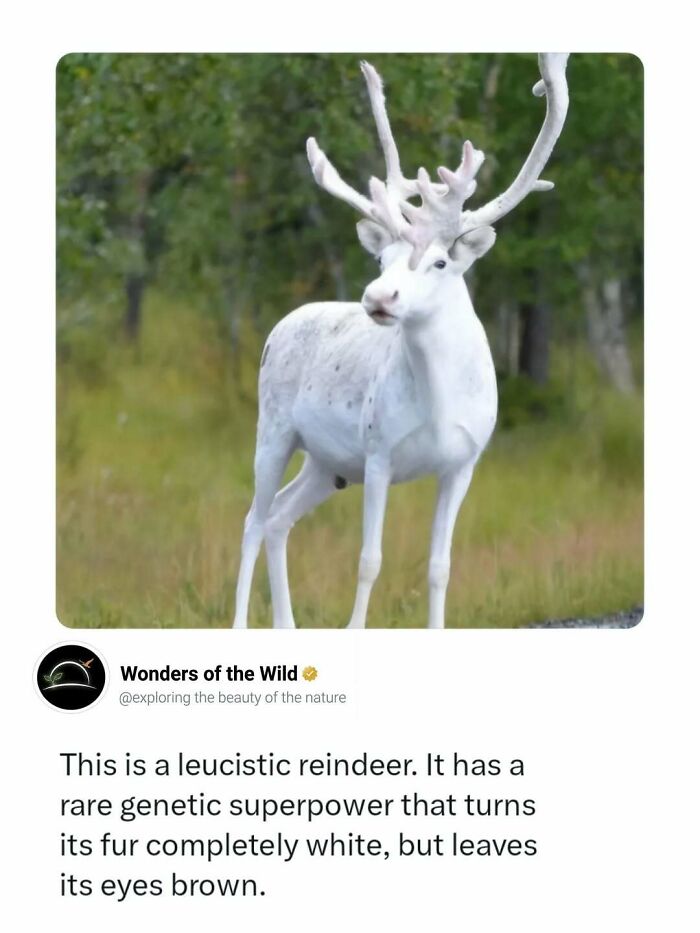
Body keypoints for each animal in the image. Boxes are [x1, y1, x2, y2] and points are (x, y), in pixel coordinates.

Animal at [233, 53, 569, 630]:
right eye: (381, 258)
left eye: (439, 262)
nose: (378, 296)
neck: (438, 402)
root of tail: (279, 326)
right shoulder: (378, 453)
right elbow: (369, 559)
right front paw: (354, 629)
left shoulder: (463, 463)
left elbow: (440, 567)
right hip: (273, 428)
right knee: (253, 518)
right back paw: (241, 624)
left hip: (327, 463)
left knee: (278, 516)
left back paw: (287, 624)